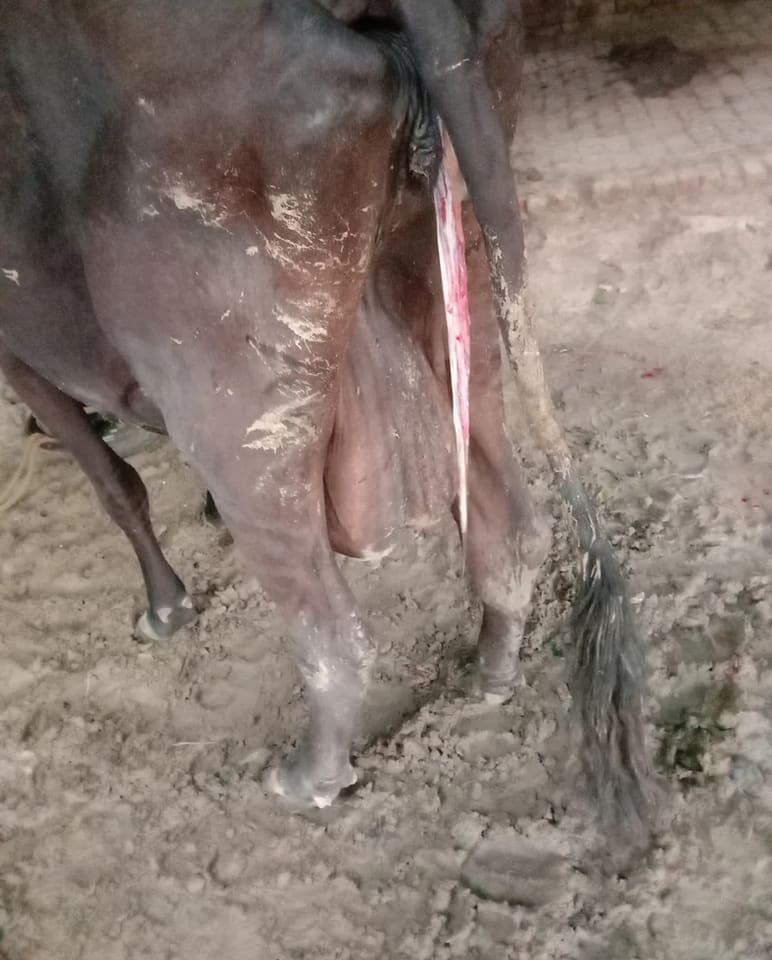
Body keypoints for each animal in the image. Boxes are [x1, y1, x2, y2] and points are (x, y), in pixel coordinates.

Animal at [0, 0, 653, 833]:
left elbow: (115, 484)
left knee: (330, 628)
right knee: (510, 524)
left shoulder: (20, 348)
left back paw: (309, 776)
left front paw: (166, 605)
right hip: (461, 294)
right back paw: (491, 671)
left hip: (233, 395)